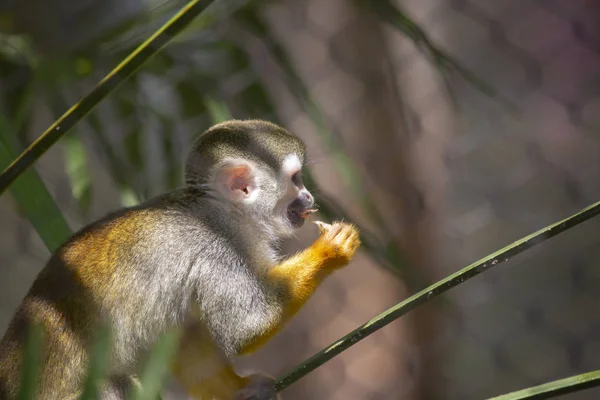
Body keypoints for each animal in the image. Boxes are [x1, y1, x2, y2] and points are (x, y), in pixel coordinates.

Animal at [0, 119, 358, 400]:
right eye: (296, 179)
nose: (309, 196)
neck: (225, 212)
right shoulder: (216, 250)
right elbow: (247, 328)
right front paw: (331, 249)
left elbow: (186, 335)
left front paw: (238, 391)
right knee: (113, 385)